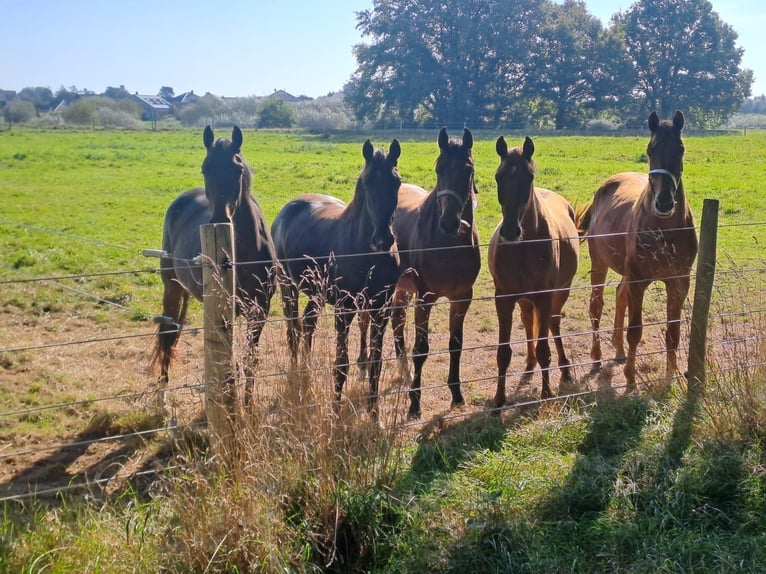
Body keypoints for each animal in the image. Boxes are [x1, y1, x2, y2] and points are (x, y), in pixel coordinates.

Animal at [152, 125, 278, 404]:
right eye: (205, 168)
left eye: (238, 169)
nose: (220, 219)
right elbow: (231, 361)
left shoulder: (260, 309)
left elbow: (250, 359)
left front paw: (247, 403)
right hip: (172, 287)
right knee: (167, 333)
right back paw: (162, 391)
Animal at [270, 140, 402, 418]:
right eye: (366, 181)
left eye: (396, 181)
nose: (382, 239)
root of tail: (288, 208)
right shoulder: (344, 309)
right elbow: (341, 363)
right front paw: (336, 411)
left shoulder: (381, 308)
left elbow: (375, 363)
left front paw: (374, 414)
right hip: (288, 287)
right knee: (293, 330)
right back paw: (297, 376)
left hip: (316, 294)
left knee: (307, 323)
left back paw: (307, 372)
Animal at [382, 128, 484, 420]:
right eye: (439, 168)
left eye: (468, 169)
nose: (449, 222)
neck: (447, 245)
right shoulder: (425, 298)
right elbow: (421, 350)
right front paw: (414, 405)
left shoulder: (462, 298)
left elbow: (456, 344)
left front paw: (457, 396)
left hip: (404, 290)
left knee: (397, 320)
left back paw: (404, 373)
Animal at [488, 137, 580, 408]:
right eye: (498, 176)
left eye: (529, 177)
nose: (510, 231)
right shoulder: (503, 298)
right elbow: (503, 352)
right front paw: (498, 401)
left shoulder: (544, 296)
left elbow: (544, 349)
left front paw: (546, 395)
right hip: (525, 300)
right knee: (530, 322)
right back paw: (529, 367)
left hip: (560, 292)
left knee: (553, 324)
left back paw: (565, 370)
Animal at [580, 111, 700, 394]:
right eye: (650, 149)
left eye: (681, 148)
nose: (664, 202)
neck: (664, 230)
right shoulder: (638, 281)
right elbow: (635, 330)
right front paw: (631, 381)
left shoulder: (679, 283)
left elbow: (673, 332)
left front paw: (669, 378)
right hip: (599, 264)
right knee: (596, 306)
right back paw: (597, 357)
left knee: (619, 295)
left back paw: (618, 350)